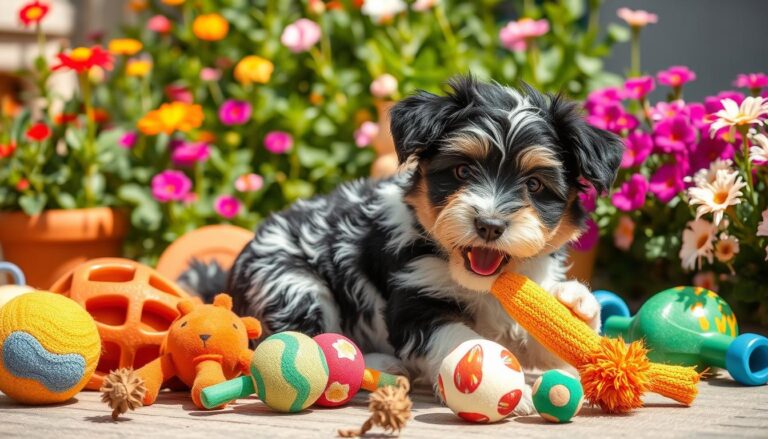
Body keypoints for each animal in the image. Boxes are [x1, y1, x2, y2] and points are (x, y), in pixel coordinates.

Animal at [222, 76, 624, 412]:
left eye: (535, 185)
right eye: (462, 171)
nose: (489, 224)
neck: (479, 283)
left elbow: (552, 340)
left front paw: (574, 303)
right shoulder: (415, 296)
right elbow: (455, 335)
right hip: (292, 283)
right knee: (308, 338)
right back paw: (375, 362)